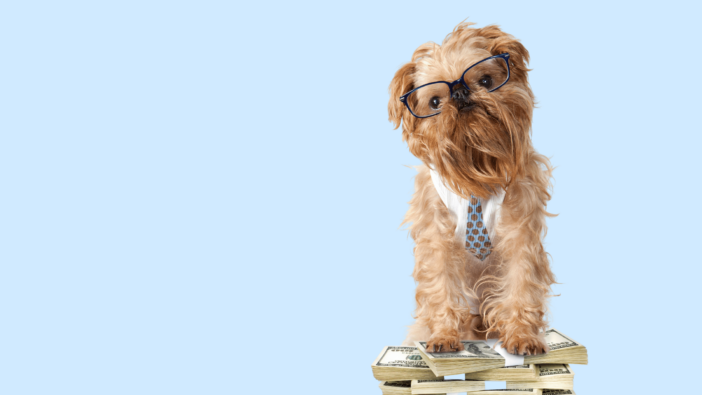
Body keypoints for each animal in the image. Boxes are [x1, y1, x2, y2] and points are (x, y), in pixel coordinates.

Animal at [388, 20, 560, 356]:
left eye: (485, 80)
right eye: (435, 102)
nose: (460, 91)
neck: (477, 169)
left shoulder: (520, 231)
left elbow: (521, 282)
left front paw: (522, 335)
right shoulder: (436, 237)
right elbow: (440, 283)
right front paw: (444, 334)